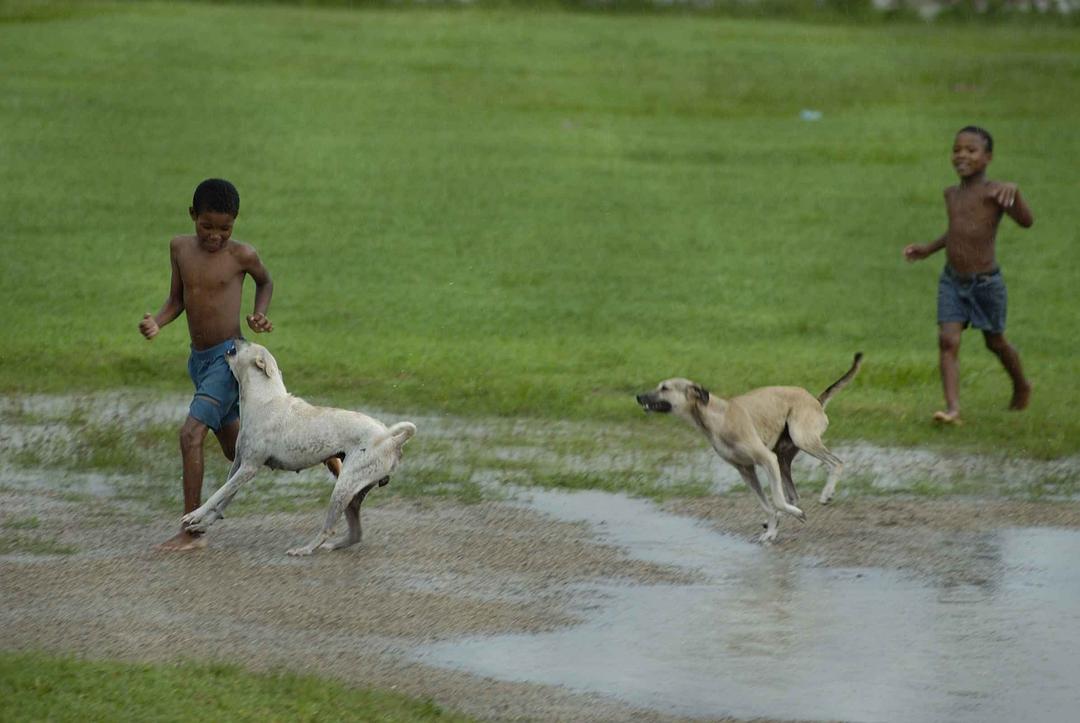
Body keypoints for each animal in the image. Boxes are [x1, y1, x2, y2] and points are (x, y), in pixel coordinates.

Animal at [179, 341, 414, 557]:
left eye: (247, 343)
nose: (234, 340)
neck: (264, 399)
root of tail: (393, 441)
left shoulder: (249, 468)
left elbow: (218, 494)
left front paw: (193, 515)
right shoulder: (238, 465)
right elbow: (224, 498)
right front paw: (202, 524)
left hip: (344, 486)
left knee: (328, 529)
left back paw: (304, 549)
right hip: (353, 494)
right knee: (356, 533)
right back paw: (331, 546)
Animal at [639, 352, 859, 538]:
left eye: (665, 388)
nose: (638, 396)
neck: (717, 417)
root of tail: (815, 400)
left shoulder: (767, 460)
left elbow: (776, 500)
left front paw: (783, 522)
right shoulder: (746, 470)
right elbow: (767, 505)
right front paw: (772, 529)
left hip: (801, 439)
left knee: (836, 463)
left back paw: (826, 494)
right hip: (783, 460)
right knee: (794, 496)